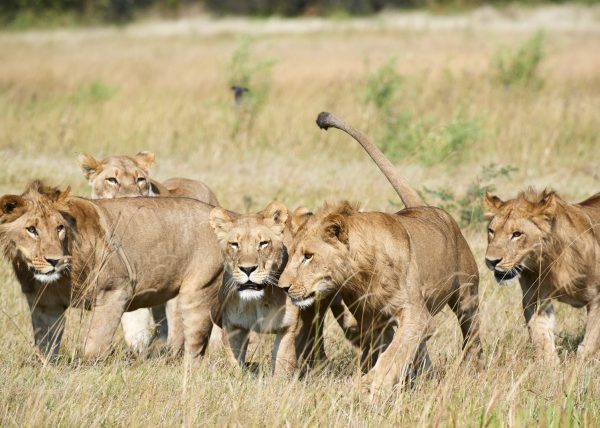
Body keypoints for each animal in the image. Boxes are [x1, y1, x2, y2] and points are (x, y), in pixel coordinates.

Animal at [209, 202, 358, 372]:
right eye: (234, 244)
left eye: (263, 243)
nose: (248, 269)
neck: (256, 301)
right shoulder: (233, 327)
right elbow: (234, 364)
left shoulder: (289, 327)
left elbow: (282, 367)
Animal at [278, 112, 480, 396]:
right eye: (292, 253)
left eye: (308, 256)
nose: (283, 287)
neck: (361, 275)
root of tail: (425, 207)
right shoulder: (371, 320)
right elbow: (383, 352)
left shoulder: (416, 314)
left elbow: (394, 353)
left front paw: (372, 385)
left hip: (467, 295)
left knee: (472, 336)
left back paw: (473, 370)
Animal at [482, 189, 600, 362]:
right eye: (491, 231)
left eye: (517, 234)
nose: (491, 261)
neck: (551, 261)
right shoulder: (535, 298)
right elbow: (541, 335)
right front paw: (549, 365)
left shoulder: (598, 298)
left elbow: (590, 344)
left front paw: (580, 365)